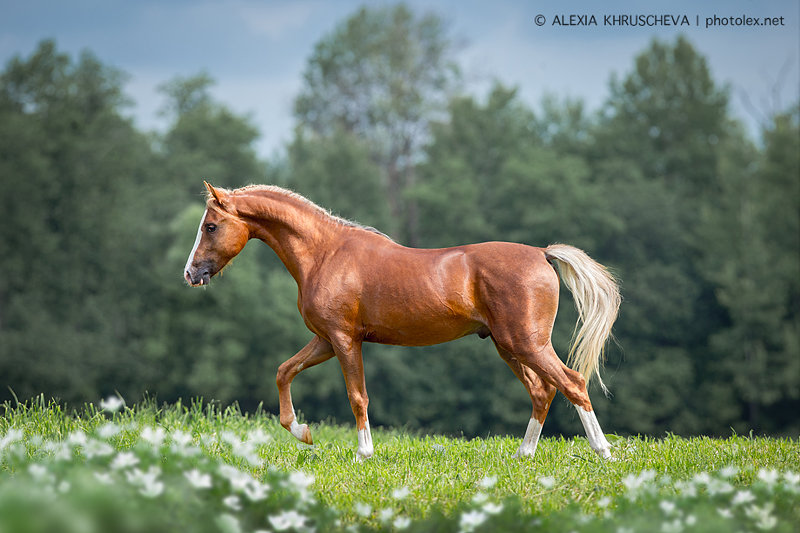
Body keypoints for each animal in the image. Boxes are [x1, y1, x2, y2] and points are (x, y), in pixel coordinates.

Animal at [184, 181, 620, 460]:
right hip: (508, 345)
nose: (190, 274)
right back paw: (524, 454)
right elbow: (284, 371)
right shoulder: (324, 340)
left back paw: (603, 452)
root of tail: (542, 254)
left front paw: (363, 453)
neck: (325, 253)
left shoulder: (344, 339)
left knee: (572, 383)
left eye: (211, 226)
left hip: (526, 343)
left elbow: (357, 396)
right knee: (542, 391)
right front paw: (302, 433)